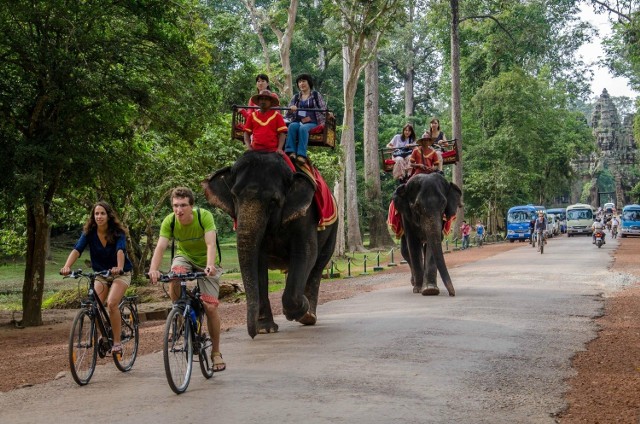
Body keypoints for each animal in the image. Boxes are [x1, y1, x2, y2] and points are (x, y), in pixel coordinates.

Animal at [202, 151, 338, 340]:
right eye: (234, 197)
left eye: (274, 200)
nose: (252, 335)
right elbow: (258, 261)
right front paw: (265, 329)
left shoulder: (307, 214)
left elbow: (306, 252)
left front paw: (299, 310)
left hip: (333, 230)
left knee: (317, 266)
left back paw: (309, 316)